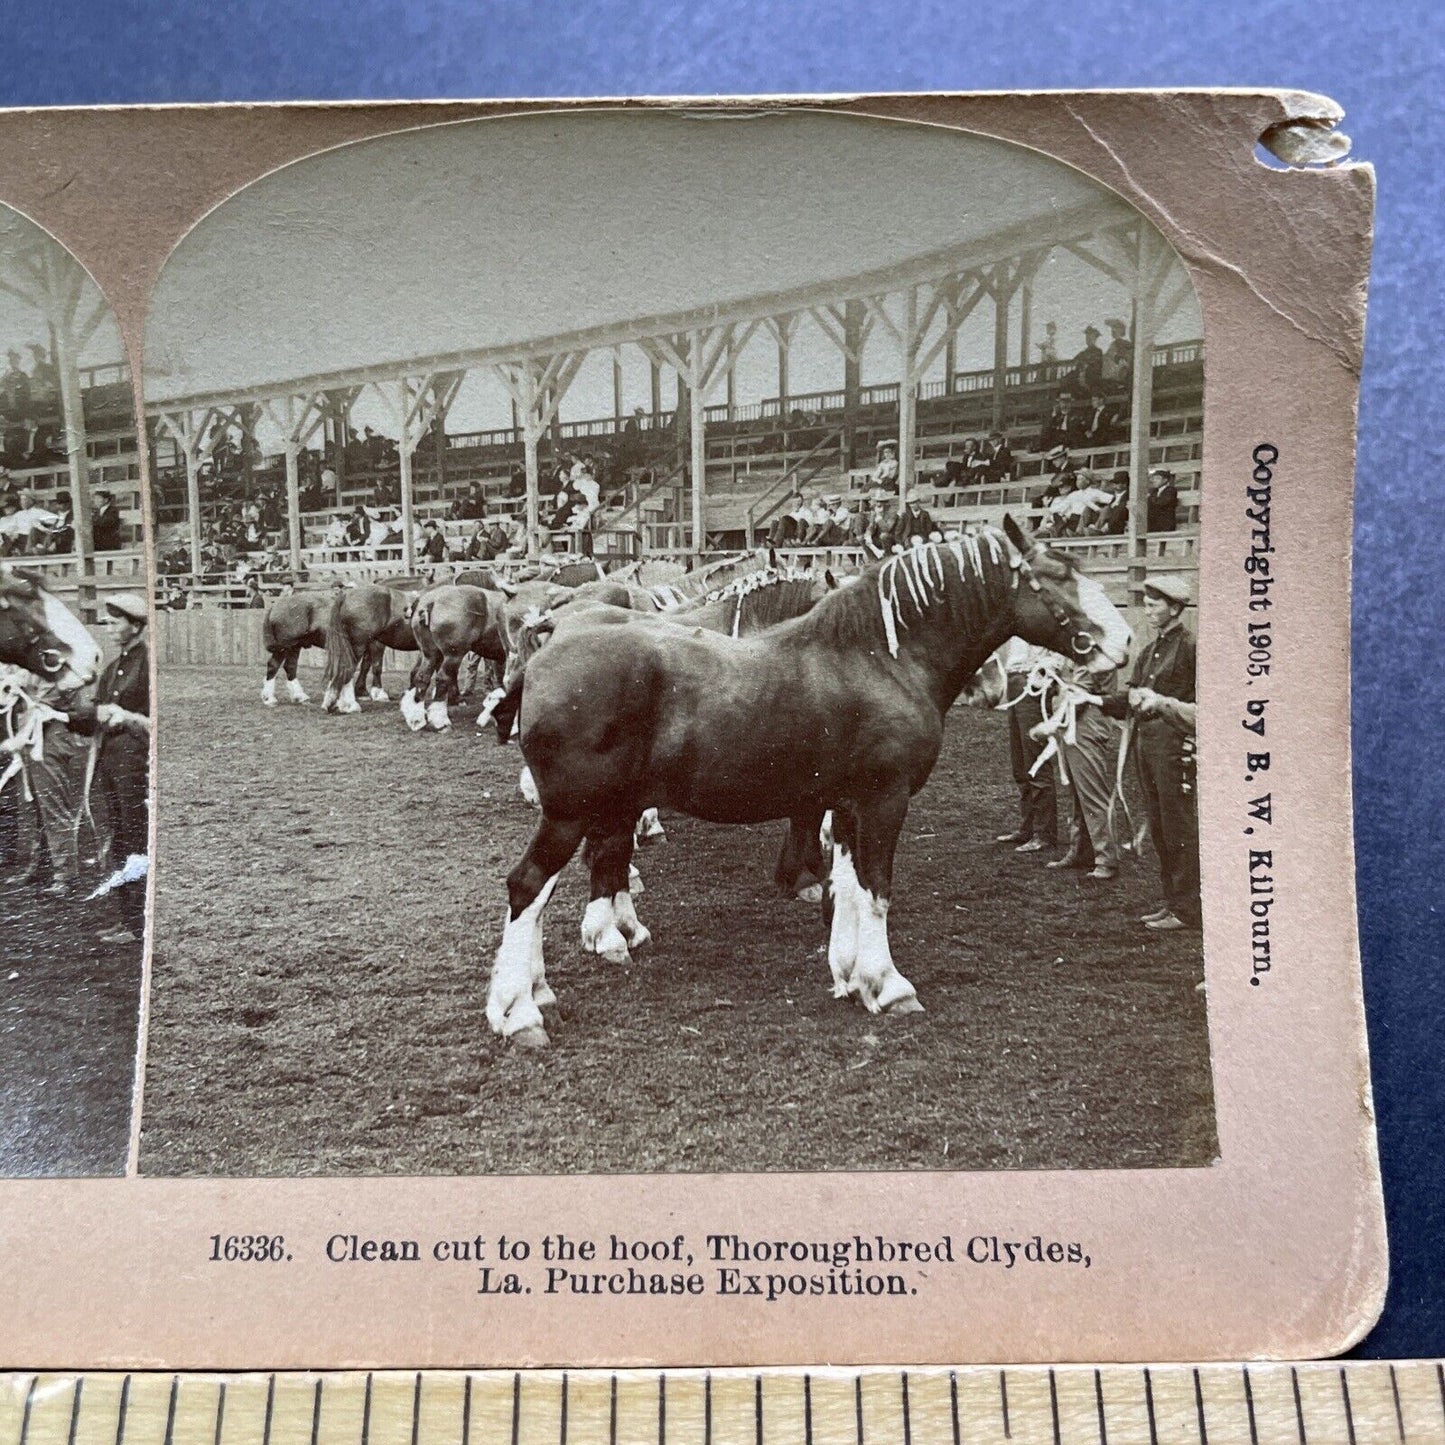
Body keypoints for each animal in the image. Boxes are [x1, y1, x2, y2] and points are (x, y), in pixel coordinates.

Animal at [491, 514, 1132, 1046]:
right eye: (1056, 578)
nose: (1124, 641)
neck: (879, 659)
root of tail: (546, 651)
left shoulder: (845, 805)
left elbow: (848, 886)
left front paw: (850, 974)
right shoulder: (883, 801)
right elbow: (876, 891)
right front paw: (890, 986)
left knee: (566, 879)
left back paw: (553, 980)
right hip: (572, 811)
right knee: (528, 886)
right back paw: (519, 1013)